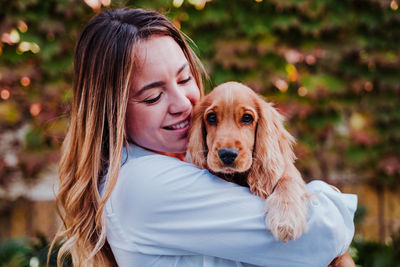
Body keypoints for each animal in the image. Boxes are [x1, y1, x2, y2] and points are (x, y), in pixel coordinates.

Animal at [188, 81, 310, 243]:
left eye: (247, 118)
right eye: (211, 117)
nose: (227, 154)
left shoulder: (289, 172)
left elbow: (289, 180)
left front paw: (285, 219)